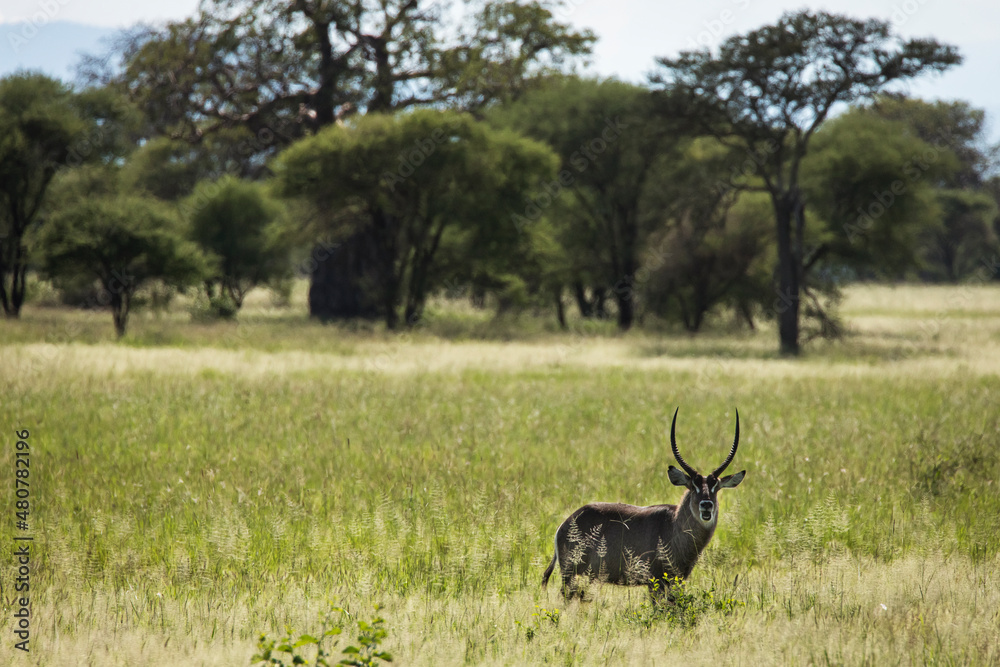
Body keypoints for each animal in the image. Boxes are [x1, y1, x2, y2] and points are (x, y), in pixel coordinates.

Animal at [542, 408, 745, 598]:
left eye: (715, 486)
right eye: (693, 485)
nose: (706, 505)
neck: (674, 525)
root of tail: (565, 524)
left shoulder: (678, 580)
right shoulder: (655, 581)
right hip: (570, 574)